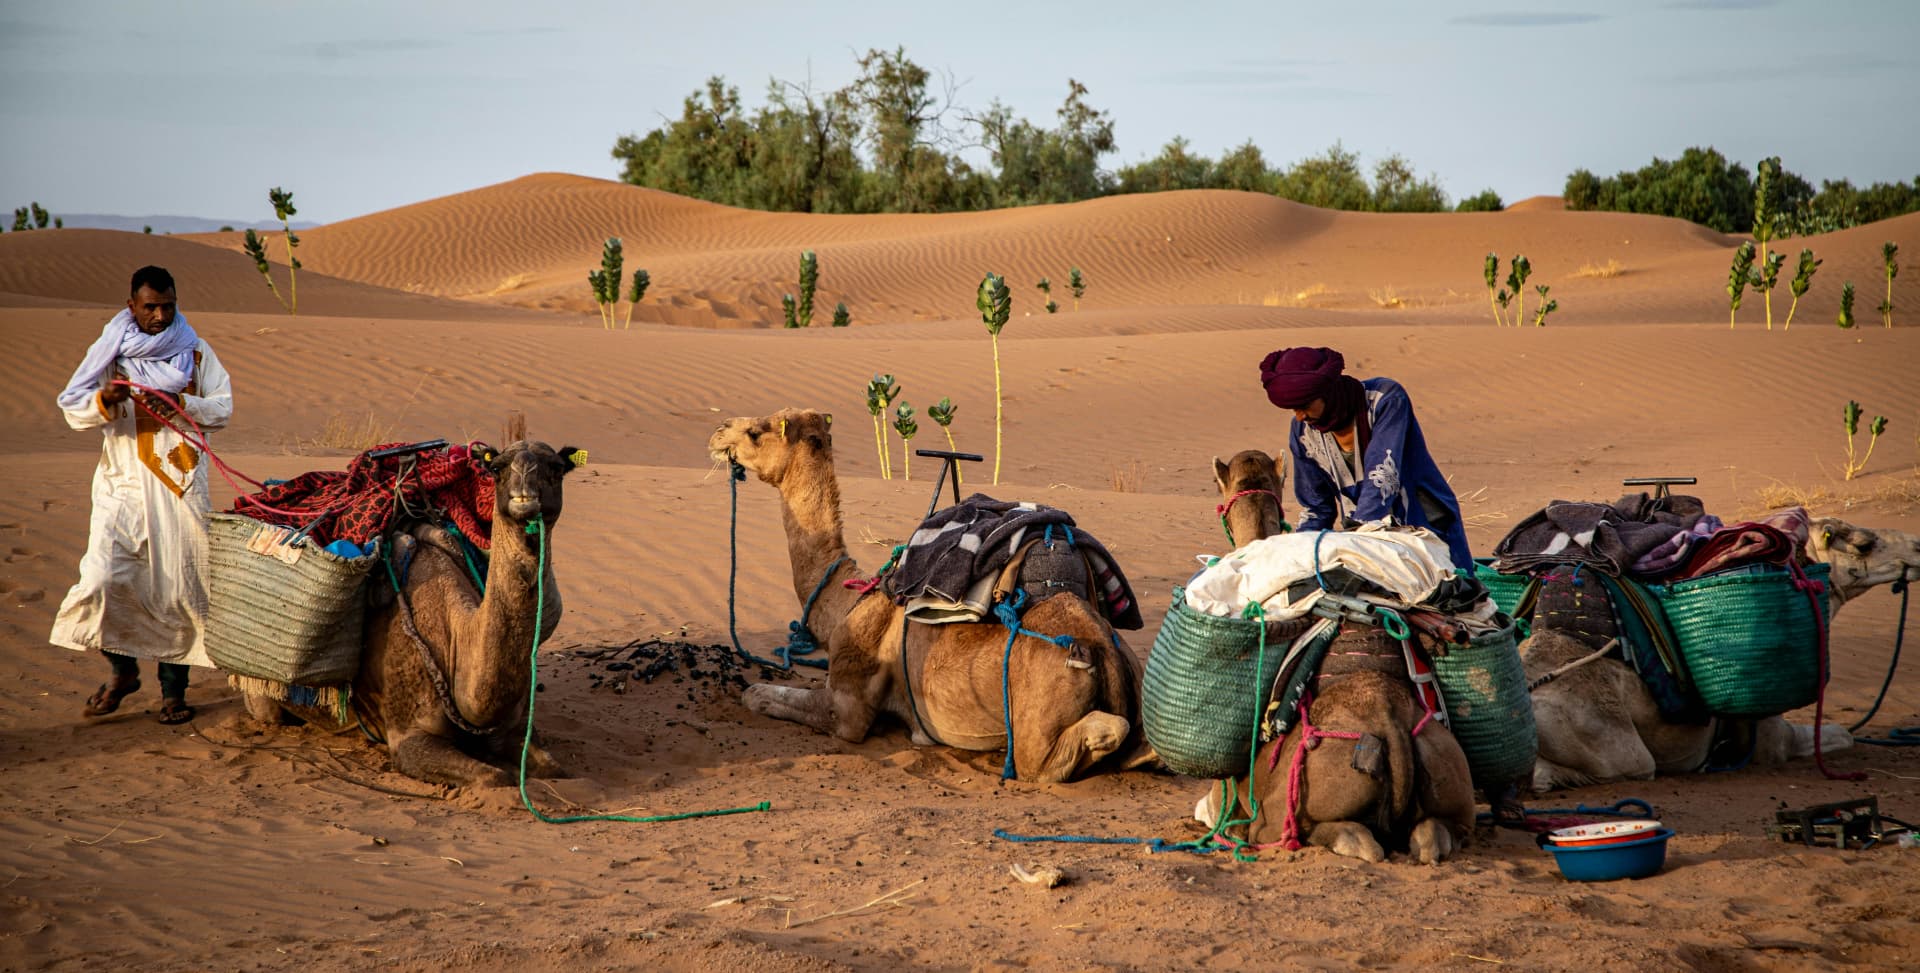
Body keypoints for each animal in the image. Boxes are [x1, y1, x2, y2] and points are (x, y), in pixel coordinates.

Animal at [245, 417, 581, 789]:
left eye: (556, 468)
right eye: (497, 468)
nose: (524, 481)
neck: (458, 637)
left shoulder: (511, 729)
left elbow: (552, 767)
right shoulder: (410, 736)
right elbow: (493, 777)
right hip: (261, 699)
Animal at [709, 408, 1155, 783]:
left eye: (756, 431)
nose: (718, 431)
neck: (848, 598)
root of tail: (1102, 647)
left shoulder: (848, 706)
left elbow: (757, 695)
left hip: (1037, 732)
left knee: (1061, 751)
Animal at [1196, 450, 1477, 863]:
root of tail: (1389, 720)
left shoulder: (1224, 796)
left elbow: (1211, 810)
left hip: (1283, 810)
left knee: (1343, 838)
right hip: (1451, 784)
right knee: (1432, 837)